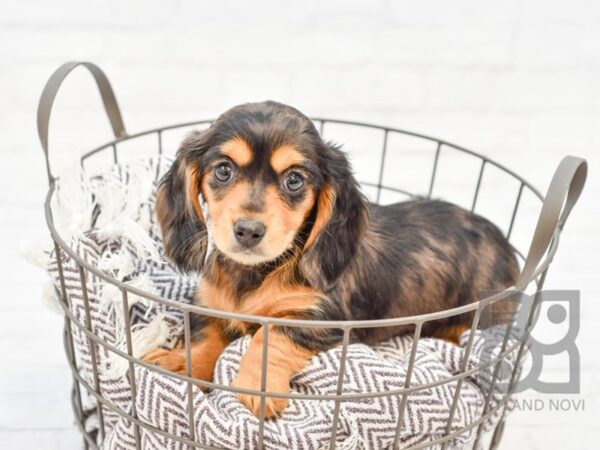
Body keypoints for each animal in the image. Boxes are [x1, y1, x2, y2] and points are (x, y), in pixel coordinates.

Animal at [144, 100, 516, 416]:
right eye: (223, 171)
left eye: (294, 179)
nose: (248, 231)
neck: (257, 273)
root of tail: (507, 246)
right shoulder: (211, 304)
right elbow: (206, 336)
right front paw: (181, 364)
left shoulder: (322, 317)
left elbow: (270, 335)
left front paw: (255, 388)